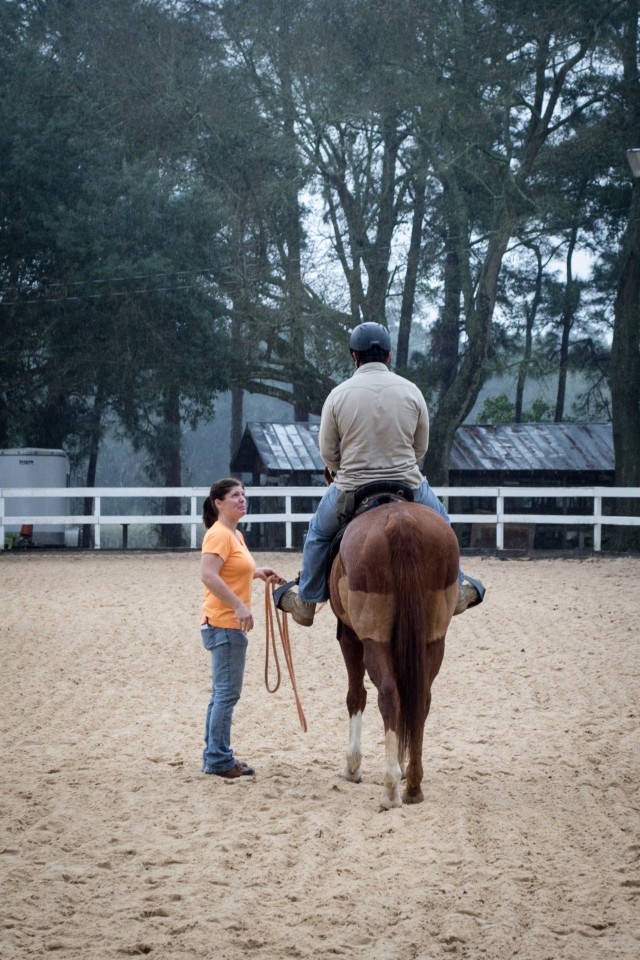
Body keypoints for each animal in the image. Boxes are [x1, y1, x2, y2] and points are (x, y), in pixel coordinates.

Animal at [330, 502, 460, 808]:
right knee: (420, 698)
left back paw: (390, 788)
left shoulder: (350, 637)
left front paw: (352, 767)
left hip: (373, 639)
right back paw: (412, 784)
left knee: (388, 694)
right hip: (433, 640)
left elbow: (356, 696)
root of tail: (401, 521)